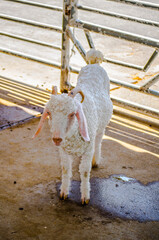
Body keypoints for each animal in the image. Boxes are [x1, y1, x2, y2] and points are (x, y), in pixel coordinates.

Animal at [33, 48, 113, 204]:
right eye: (49, 113)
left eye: (71, 114)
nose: (57, 139)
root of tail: (94, 63)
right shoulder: (63, 150)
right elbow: (65, 169)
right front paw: (64, 192)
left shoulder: (87, 149)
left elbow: (85, 172)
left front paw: (85, 196)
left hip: (101, 126)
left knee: (99, 140)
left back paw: (96, 160)